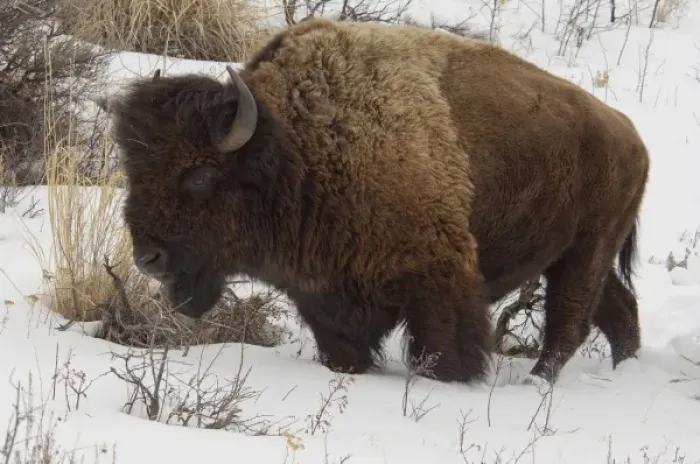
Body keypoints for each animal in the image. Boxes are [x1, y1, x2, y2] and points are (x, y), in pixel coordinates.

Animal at [96, 18, 650, 385]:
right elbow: (343, 351)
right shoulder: (322, 296)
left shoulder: (440, 285)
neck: (297, 149)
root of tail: (629, 134)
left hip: (586, 250)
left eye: (201, 175)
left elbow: (444, 355)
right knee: (617, 309)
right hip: (572, 256)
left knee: (570, 321)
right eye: (134, 170)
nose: (149, 257)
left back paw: (541, 381)